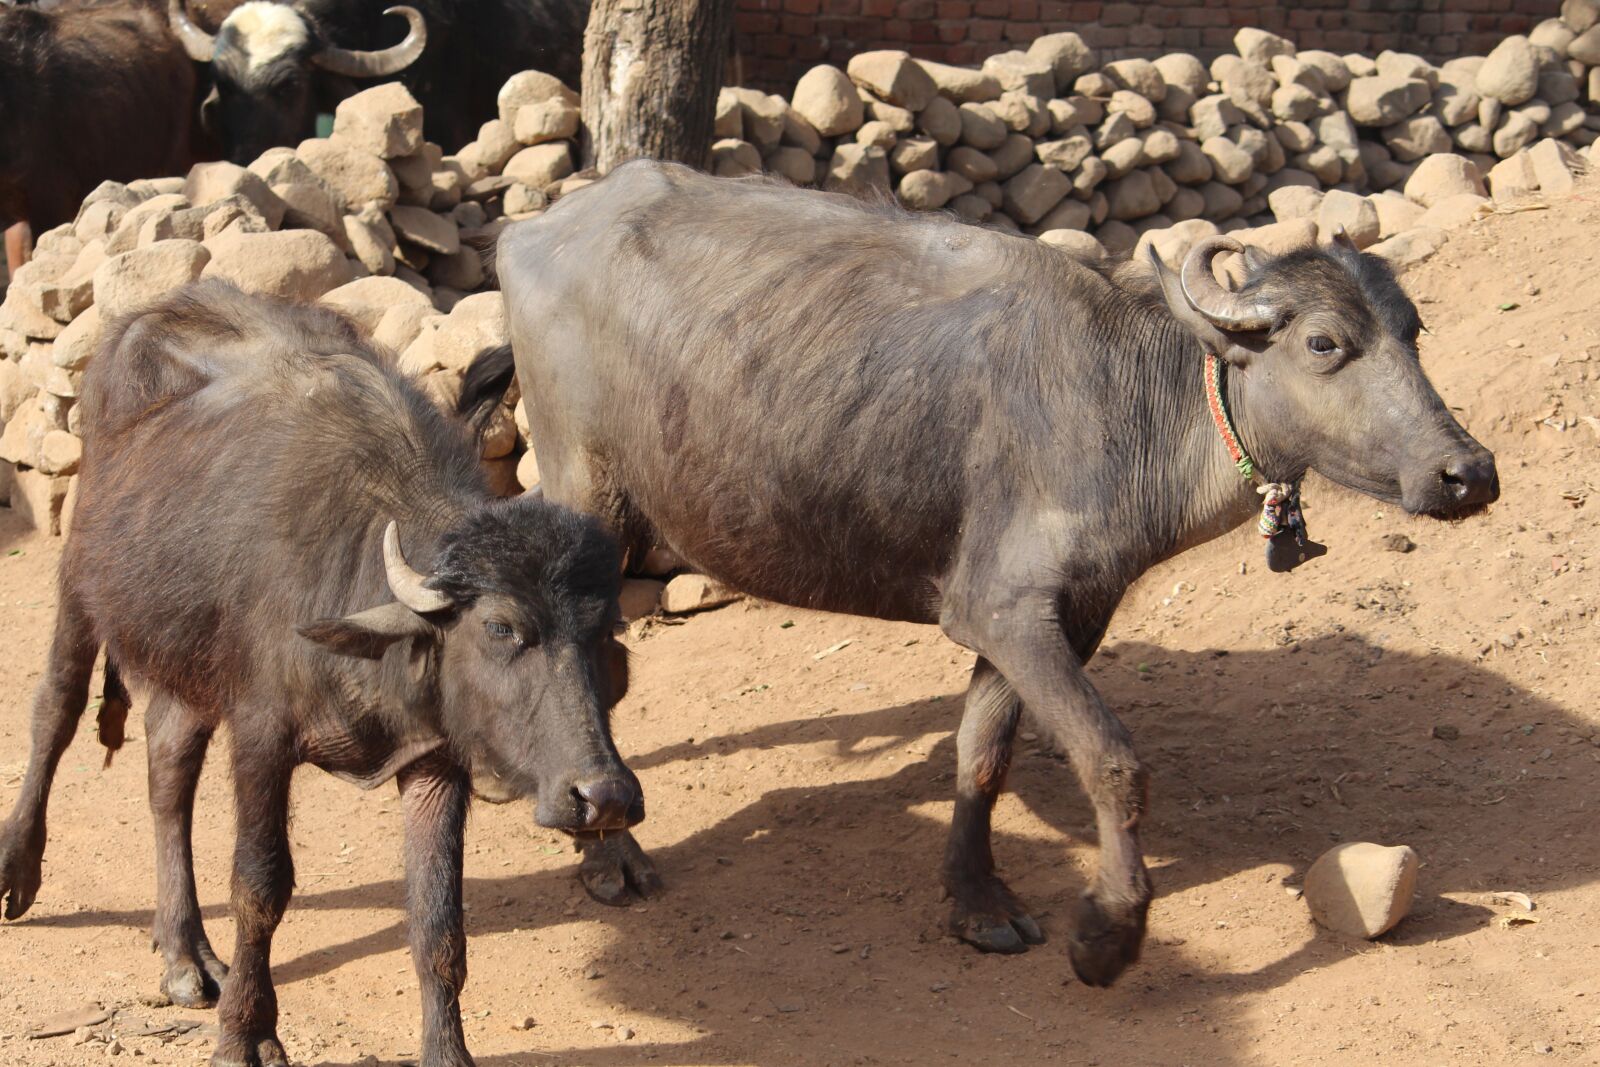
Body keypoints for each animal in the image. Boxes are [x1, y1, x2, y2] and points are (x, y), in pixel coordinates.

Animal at [0, 280, 642, 1067]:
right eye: (500, 627)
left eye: (604, 632)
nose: (604, 797)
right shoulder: (261, 734)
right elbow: (260, 884)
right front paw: (245, 1032)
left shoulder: (435, 762)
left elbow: (438, 917)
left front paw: (446, 1049)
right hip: (81, 583)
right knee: (55, 711)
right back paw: (19, 872)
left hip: (188, 658)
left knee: (167, 764)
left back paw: (184, 951)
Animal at [481, 160, 1500, 988]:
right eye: (1324, 343)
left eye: (1413, 330)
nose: (1467, 473)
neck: (1121, 398)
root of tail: (538, 225)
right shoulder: (1006, 611)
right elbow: (1112, 759)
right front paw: (1107, 934)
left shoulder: (1053, 615)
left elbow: (982, 754)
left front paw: (976, 900)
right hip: (587, 495)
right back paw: (607, 853)